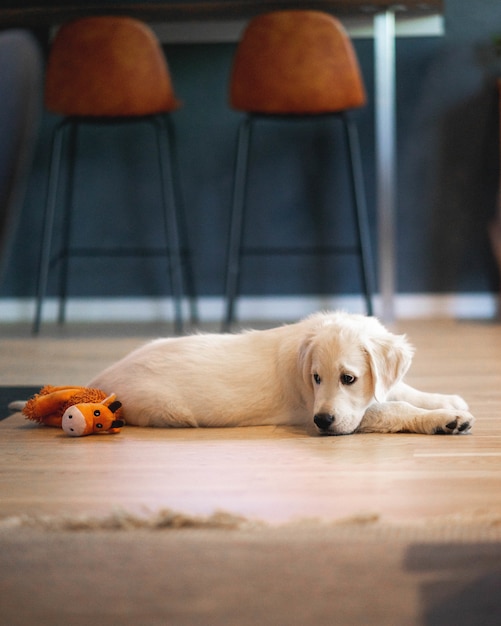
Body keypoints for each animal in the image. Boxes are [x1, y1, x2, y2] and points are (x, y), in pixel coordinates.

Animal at [88, 310, 474, 434]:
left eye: (348, 378)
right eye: (315, 378)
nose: (322, 422)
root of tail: (100, 380)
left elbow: (400, 390)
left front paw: (448, 400)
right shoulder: (313, 410)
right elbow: (393, 408)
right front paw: (445, 419)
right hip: (167, 411)